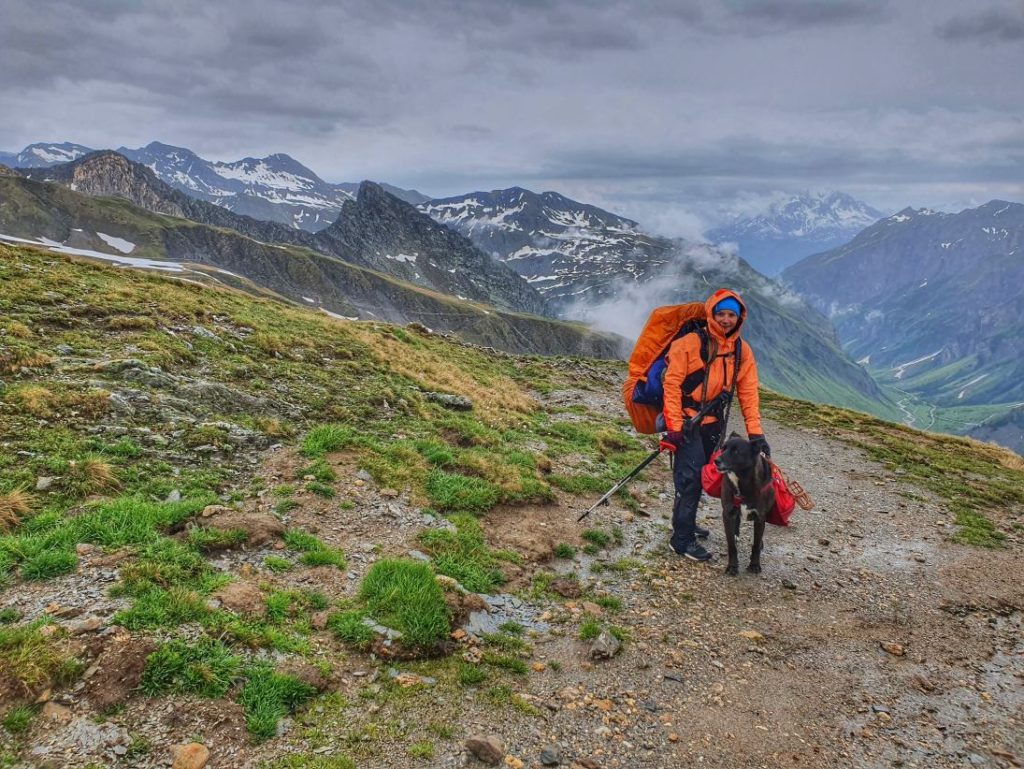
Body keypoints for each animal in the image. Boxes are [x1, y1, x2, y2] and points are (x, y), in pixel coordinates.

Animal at [716, 434, 770, 577]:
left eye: (736, 451)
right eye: (723, 448)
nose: (716, 461)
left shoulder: (760, 517)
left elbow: (756, 544)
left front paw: (754, 564)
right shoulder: (727, 513)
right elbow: (731, 545)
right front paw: (732, 566)